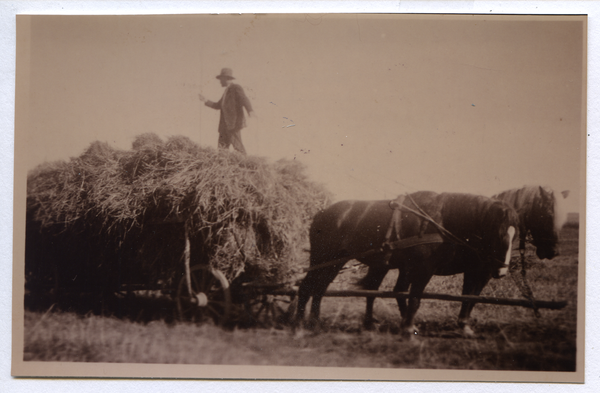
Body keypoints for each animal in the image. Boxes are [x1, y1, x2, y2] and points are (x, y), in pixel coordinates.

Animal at [292, 191, 516, 336]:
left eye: (515, 235)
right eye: (498, 234)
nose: (501, 271)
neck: (441, 220)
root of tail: (321, 213)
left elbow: (468, 297)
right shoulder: (424, 269)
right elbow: (415, 297)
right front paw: (408, 328)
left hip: (334, 262)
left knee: (320, 289)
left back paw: (315, 323)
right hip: (322, 258)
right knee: (306, 287)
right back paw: (300, 326)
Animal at [360, 184, 568, 334]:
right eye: (547, 215)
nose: (553, 251)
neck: (477, 229)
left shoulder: (481, 272)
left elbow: (473, 297)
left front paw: (464, 324)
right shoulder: (477, 271)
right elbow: (469, 296)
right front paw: (464, 325)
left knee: (396, 290)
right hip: (384, 265)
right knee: (373, 288)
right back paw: (371, 324)